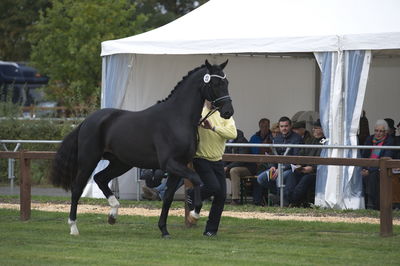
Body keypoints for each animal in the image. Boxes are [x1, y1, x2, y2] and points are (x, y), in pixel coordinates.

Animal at [49, 59, 234, 237]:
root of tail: (87, 121)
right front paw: (194, 214)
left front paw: (164, 230)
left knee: (100, 178)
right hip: (89, 160)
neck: (177, 118)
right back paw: (74, 227)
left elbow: (168, 197)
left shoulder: (178, 167)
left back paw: (113, 214)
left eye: (227, 82)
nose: (228, 111)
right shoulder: (171, 164)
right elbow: (196, 179)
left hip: (121, 163)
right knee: (77, 189)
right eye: (215, 83)